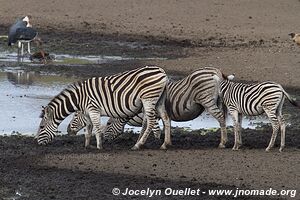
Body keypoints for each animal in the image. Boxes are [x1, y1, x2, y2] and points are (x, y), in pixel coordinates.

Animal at [34, 66, 171, 150]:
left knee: (151, 122)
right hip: (158, 100)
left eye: (41, 127)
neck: (79, 98)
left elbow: (97, 129)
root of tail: (161, 71)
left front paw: (99, 146)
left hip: (148, 99)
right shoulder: (88, 113)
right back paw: (165, 144)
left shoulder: (93, 109)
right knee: (166, 118)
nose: (37, 144)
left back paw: (138, 145)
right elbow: (88, 130)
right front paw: (87, 146)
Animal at [67, 66, 227, 148]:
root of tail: (217, 71)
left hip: (206, 99)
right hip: (219, 101)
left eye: (109, 123)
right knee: (223, 118)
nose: (68, 130)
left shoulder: (149, 113)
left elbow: (151, 127)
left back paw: (222, 143)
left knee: (220, 117)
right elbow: (148, 126)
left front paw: (153, 141)